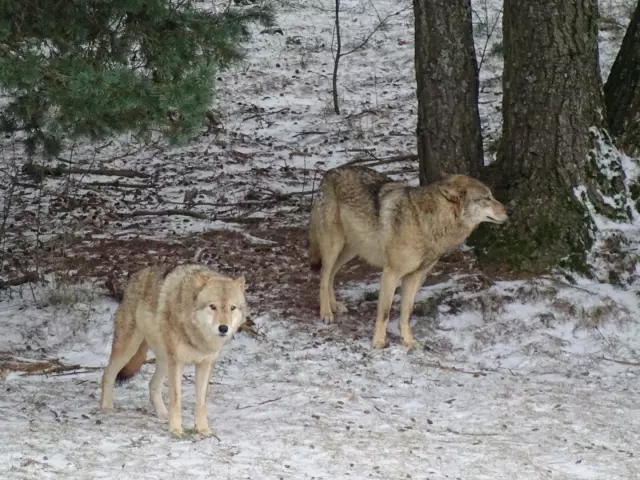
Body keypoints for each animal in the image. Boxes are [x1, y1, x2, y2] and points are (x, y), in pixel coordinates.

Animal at [100, 264, 248, 436]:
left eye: (232, 308)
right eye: (213, 306)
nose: (223, 328)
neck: (197, 336)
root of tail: (136, 275)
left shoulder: (205, 364)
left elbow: (201, 402)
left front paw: (203, 429)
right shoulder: (177, 362)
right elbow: (176, 399)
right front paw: (176, 429)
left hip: (165, 360)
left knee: (152, 384)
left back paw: (163, 413)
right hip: (129, 349)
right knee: (107, 373)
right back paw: (106, 406)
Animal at [308, 167, 508, 350]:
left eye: (491, 196)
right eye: (487, 198)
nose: (508, 212)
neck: (425, 222)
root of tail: (328, 173)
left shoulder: (415, 276)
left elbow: (406, 312)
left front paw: (408, 342)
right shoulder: (391, 273)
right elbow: (385, 312)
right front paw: (378, 342)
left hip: (350, 250)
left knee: (332, 274)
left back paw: (334, 305)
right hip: (334, 246)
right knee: (324, 275)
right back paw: (326, 312)